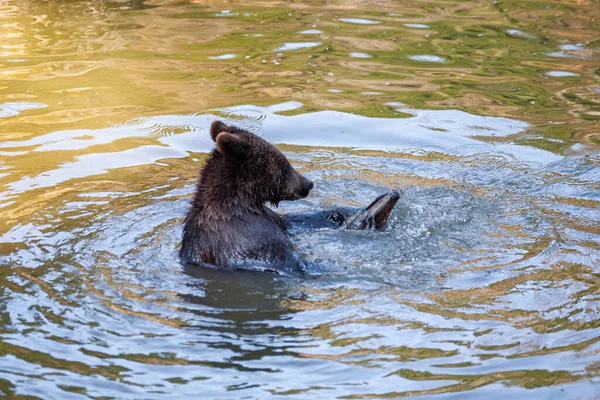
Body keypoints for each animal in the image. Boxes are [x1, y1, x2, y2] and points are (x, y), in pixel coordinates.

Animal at [182, 120, 398, 274]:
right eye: (285, 164)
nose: (308, 184)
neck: (242, 203)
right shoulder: (248, 238)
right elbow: (292, 263)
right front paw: (363, 216)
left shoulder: (269, 217)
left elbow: (295, 222)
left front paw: (345, 212)